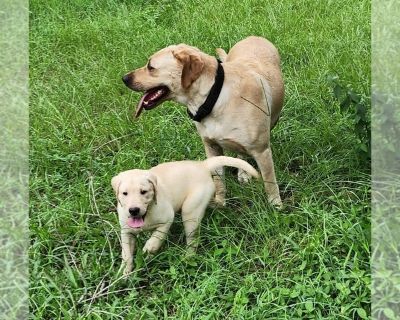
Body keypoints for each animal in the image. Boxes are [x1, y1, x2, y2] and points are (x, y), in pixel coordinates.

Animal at [111, 156, 260, 276]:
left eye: (144, 192)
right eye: (124, 193)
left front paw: (149, 249)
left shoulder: (167, 219)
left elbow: (157, 237)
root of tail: (203, 165)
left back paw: (187, 259)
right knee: (216, 203)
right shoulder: (126, 231)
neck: (147, 214)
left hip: (190, 210)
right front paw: (125, 273)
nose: (134, 210)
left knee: (192, 240)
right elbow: (126, 253)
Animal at [122, 36, 284, 208]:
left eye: (151, 67)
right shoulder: (212, 147)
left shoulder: (262, 151)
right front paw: (220, 203)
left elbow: (270, 183)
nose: (124, 78)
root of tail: (254, 37)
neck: (214, 97)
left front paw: (275, 205)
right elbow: (218, 181)